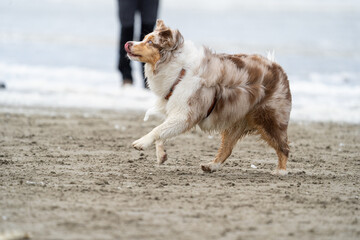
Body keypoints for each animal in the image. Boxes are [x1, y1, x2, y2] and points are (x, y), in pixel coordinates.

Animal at [125, 19, 292, 175]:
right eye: (144, 38)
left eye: (150, 42)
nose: (128, 43)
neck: (179, 69)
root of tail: (278, 68)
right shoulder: (177, 110)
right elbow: (163, 131)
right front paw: (161, 155)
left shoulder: (186, 114)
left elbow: (158, 129)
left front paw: (141, 142)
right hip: (236, 120)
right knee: (227, 148)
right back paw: (211, 165)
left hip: (269, 119)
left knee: (283, 147)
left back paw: (281, 171)